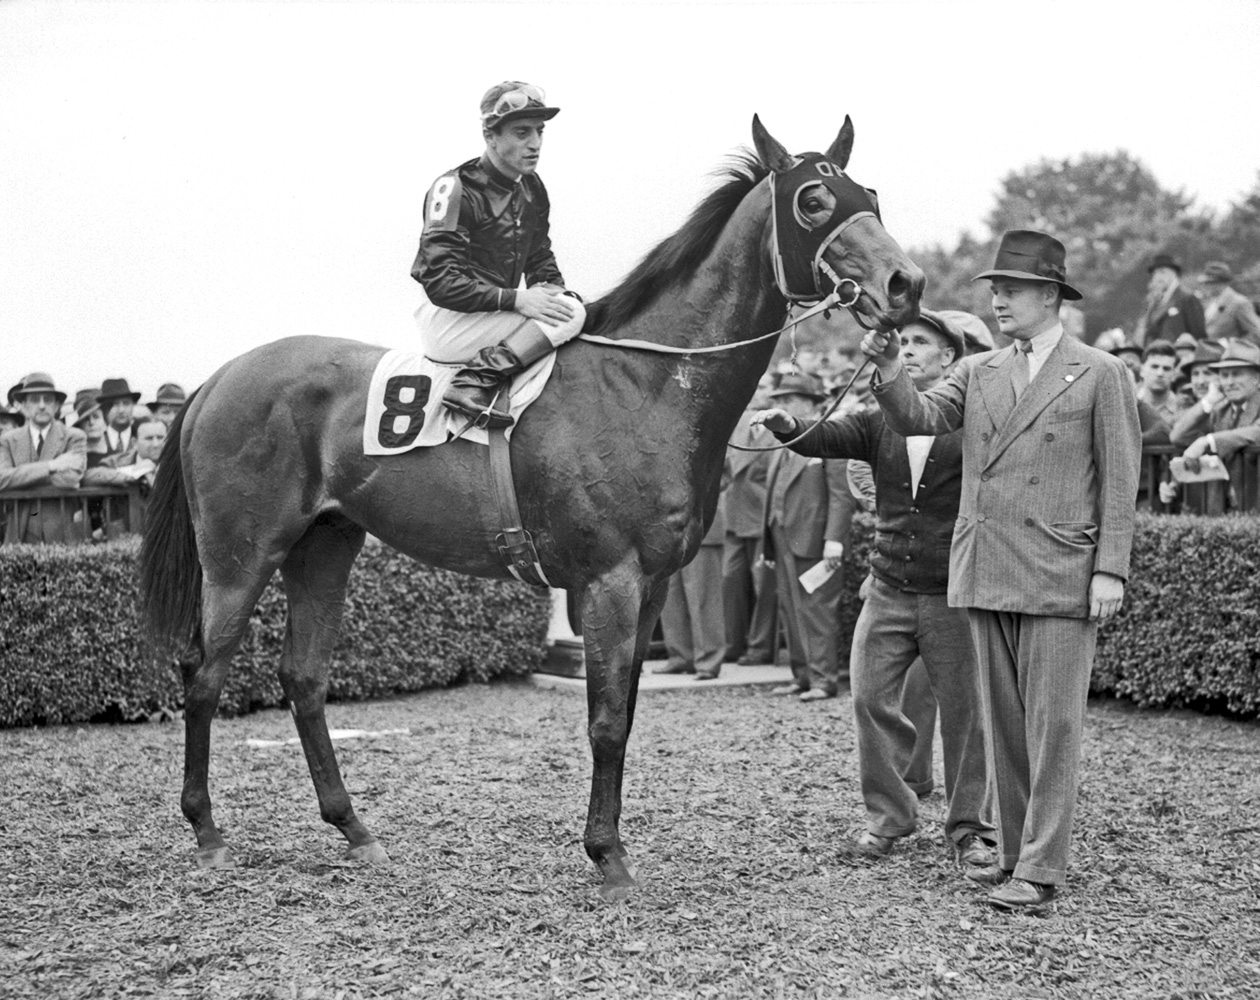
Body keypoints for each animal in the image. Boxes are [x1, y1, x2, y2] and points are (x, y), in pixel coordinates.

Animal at [140, 115, 927, 896]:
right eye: (813, 202)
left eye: (870, 195)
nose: (907, 283)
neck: (645, 382)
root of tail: (218, 378)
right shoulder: (610, 580)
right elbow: (605, 722)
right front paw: (607, 856)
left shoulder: (654, 585)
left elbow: (625, 715)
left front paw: (610, 844)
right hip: (240, 556)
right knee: (202, 673)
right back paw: (207, 831)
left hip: (324, 546)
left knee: (303, 679)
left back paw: (354, 829)